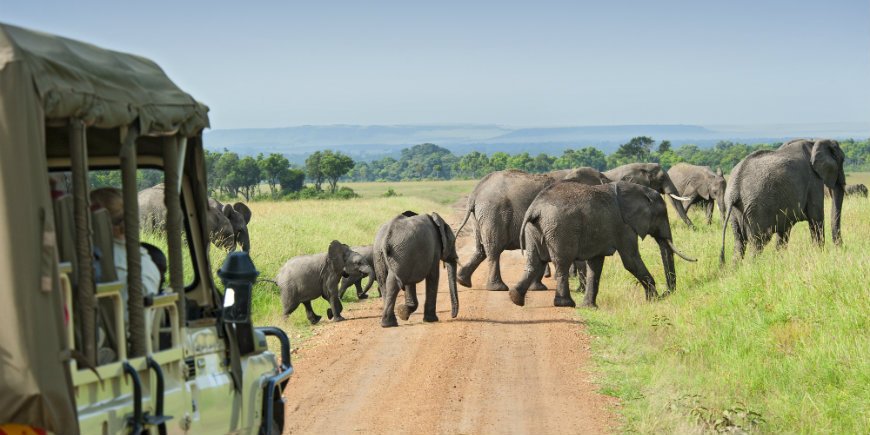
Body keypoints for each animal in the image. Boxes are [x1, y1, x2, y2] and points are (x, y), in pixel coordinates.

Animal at [456, 169, 612, 292]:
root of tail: (475, 192)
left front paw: (538, 288)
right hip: (494, 213)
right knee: (494, 248)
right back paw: (498, 288)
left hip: (479, 216)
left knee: (481, 248)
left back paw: (462, 281)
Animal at [508, 181, 700, 310]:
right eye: (661, 215)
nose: (667, 294)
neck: (638, 191)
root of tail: (535, 208)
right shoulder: (624, 226)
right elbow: (630, 260)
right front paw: (652, 300)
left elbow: (596, 264)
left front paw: (590, 307)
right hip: (560, 229)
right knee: (562, 262)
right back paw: (566, 304)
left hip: (534, 229)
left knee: (534, 262)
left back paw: (515, 297)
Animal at [720, 140, 848, 262]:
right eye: (842, 160)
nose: (840, 247)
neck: (814, 143)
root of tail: (734, 190)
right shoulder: (813, 181)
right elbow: (816, 218)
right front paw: (819, 255)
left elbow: (784, 232)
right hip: (756, 210)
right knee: (758, 243)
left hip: (735, 212)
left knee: (739, 244)